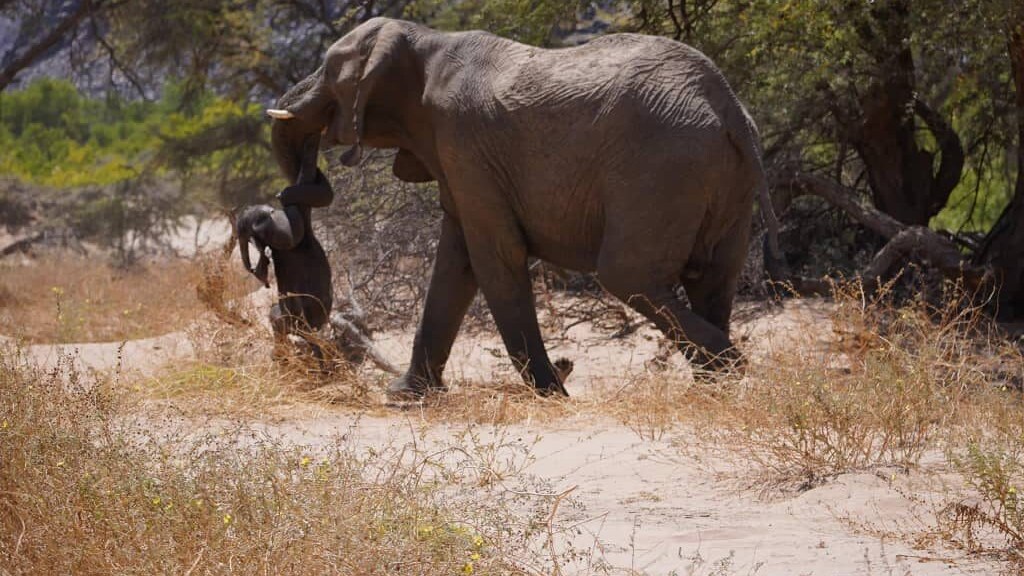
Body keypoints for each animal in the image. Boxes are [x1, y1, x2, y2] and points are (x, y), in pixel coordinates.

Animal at [267, 17, 773, 398]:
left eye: (328, 68)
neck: (423, 40)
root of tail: (728, 108)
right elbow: (455, 263)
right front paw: (405, 396)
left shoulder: (464, 142)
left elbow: (494, 257)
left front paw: (552, 395)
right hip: (723, 180)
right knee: (713, 278)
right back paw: (714, 387)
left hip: (664, 167)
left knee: (626, 275)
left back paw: (731, 367)